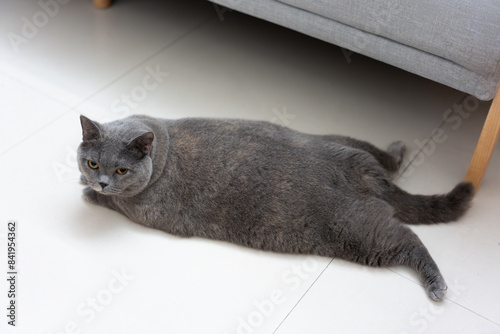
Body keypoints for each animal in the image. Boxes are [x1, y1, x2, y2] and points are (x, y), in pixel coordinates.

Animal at [77, 115, 472, 300]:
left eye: (122, 170)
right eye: (93, 162)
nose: (101, 181)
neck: (164, 149)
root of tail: (368, 177)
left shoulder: (140, 208)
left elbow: (115, 202)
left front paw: (89, 193)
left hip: (358, 230)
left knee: (407, 239)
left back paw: (437, 284)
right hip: (346, 143)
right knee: (385, 158)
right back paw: (398, 148)